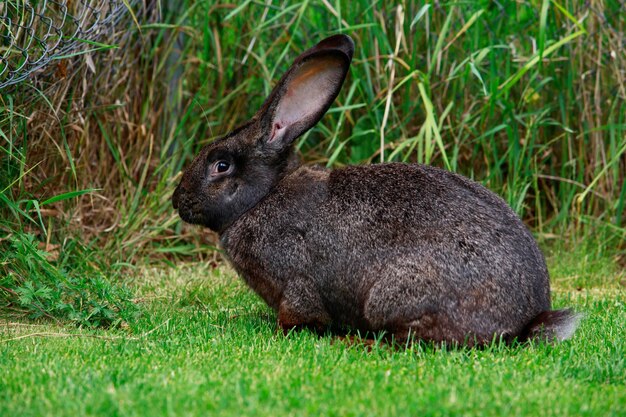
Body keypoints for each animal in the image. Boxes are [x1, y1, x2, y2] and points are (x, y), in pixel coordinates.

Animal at [169, 33, 576, 344]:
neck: (263, 197)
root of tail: (524, 321)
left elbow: (300, 313)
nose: (178, 201)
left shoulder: (295, 283)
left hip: (394, 295)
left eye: (221, 165)